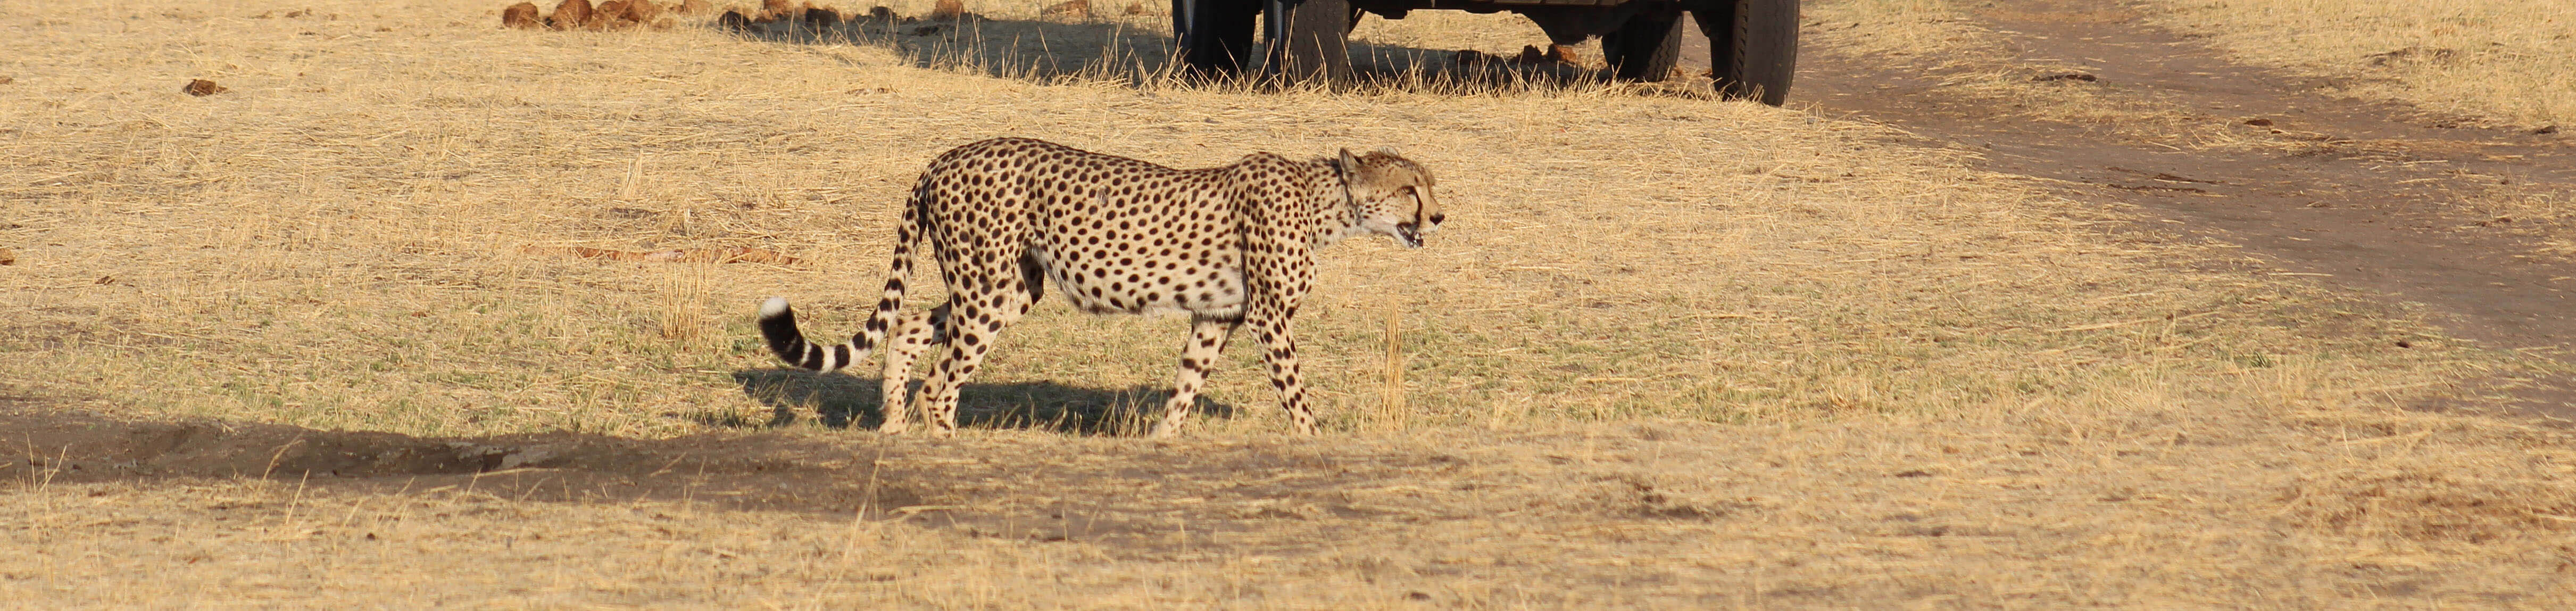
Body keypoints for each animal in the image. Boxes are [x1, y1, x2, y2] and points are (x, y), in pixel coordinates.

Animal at [757, 136, 1452, 435]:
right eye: (1408, 190)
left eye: (1429, 186)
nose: (1440, 217)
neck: (1323, 203)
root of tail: (946, 155)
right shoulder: (1268, 317)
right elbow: (1295, 392)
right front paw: (1315, 440)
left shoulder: (1216, 317)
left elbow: (1187, 385)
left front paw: (1163, 442)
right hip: (987, 288)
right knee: (942, 379)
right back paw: (943, 443)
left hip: (1007, 287)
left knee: (906, 328)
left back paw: (894, 430)